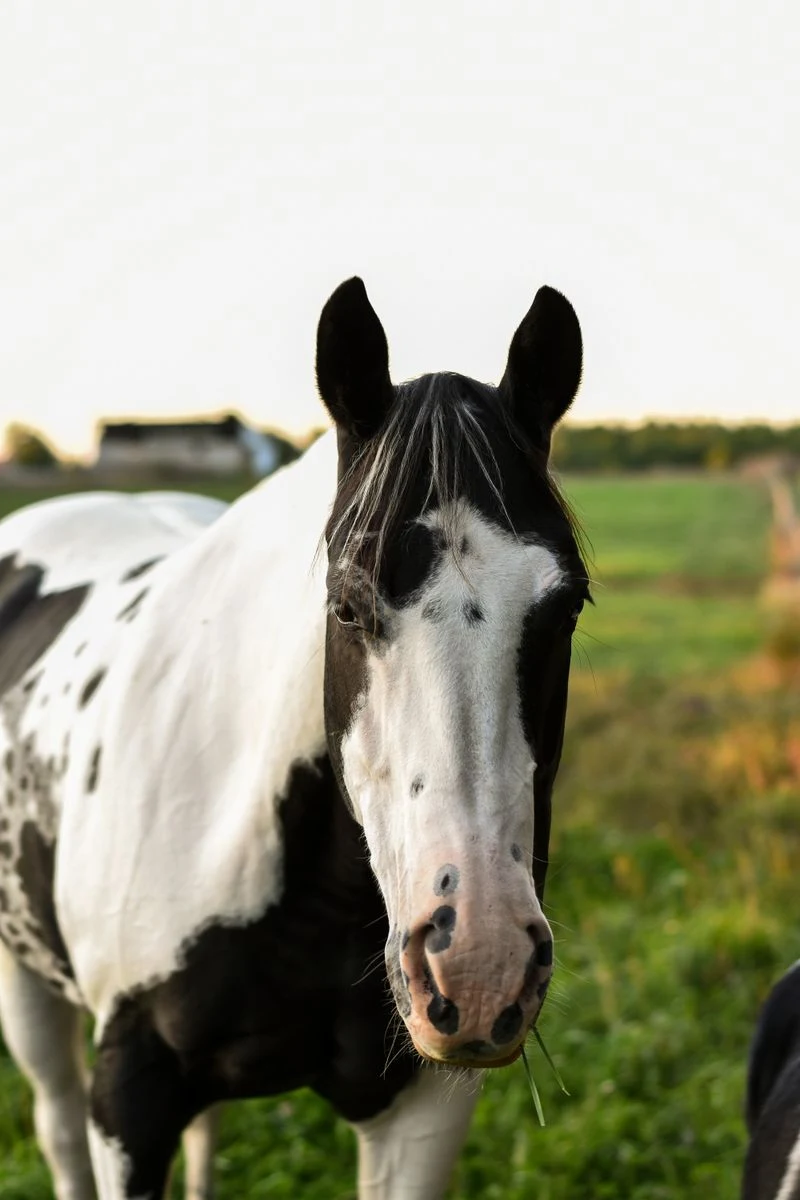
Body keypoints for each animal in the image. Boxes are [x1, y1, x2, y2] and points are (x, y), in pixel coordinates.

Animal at [0, 276, 587, 1199]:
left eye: (566, 608)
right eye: (346, 605)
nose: (480, 961)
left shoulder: (418, 1116)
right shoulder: (127, 1097)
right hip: (26, 987)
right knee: (55, 1127)